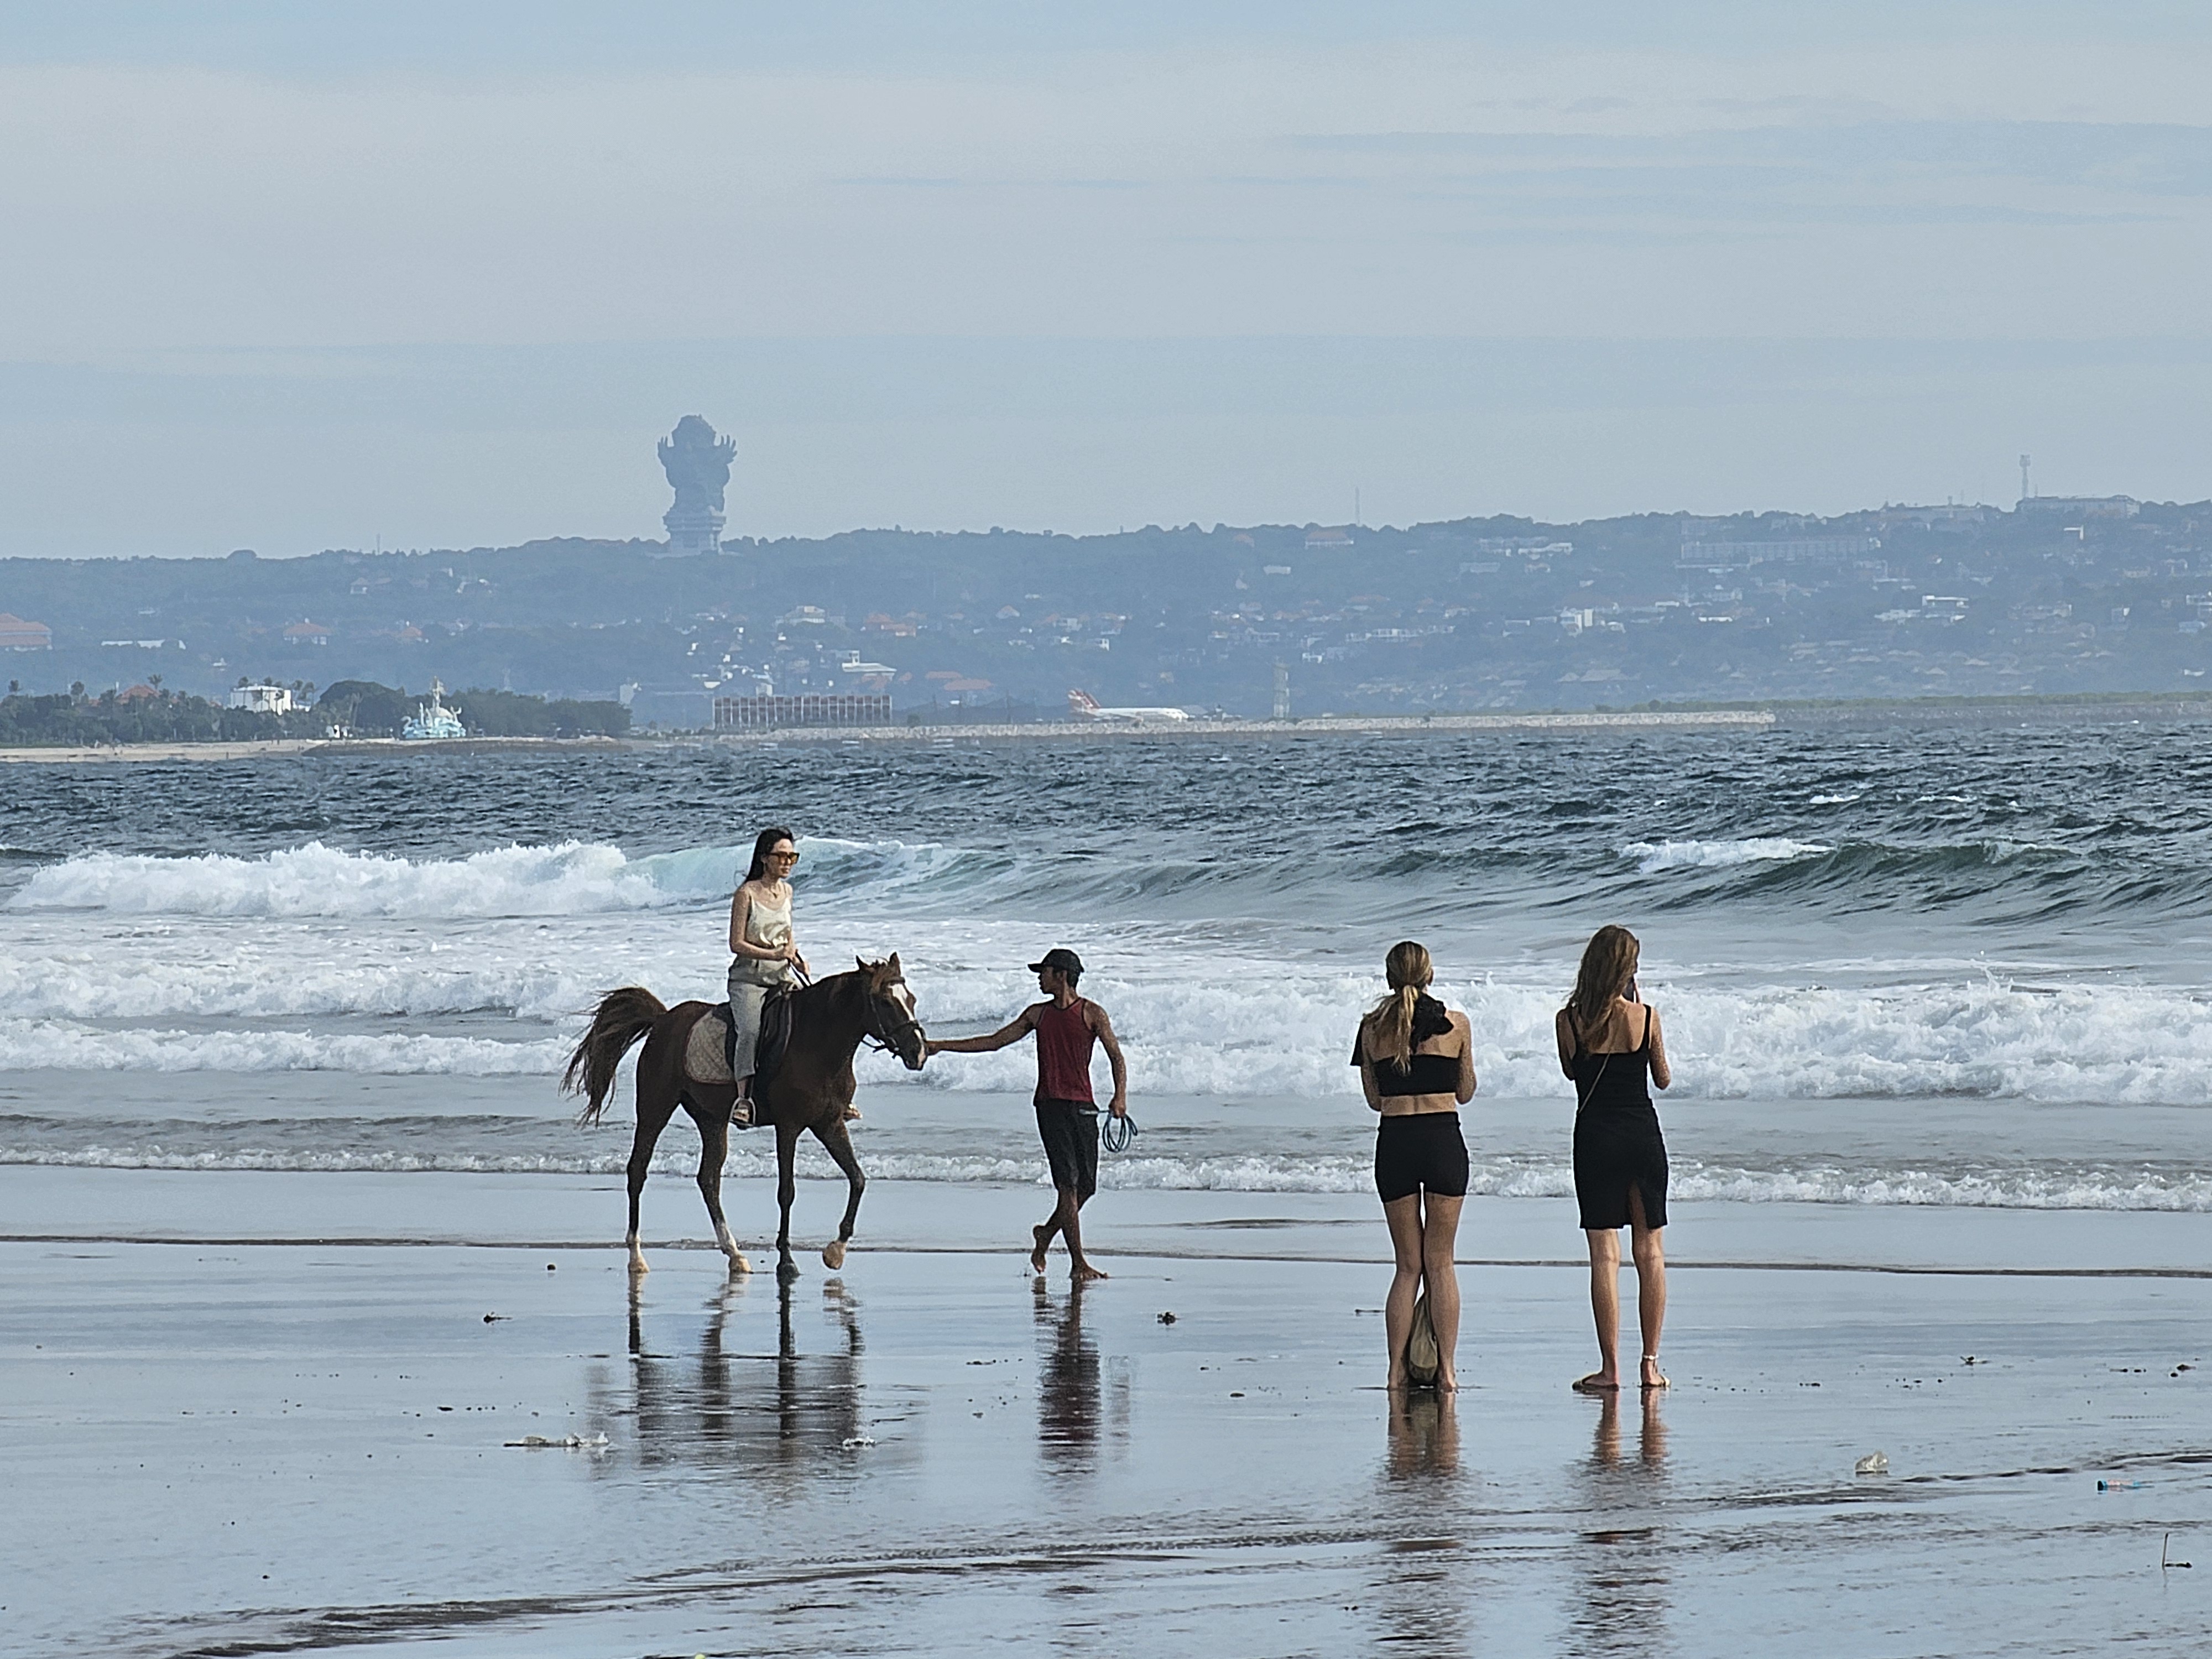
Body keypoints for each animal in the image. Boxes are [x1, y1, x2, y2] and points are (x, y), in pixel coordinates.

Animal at [566, 960, 929, 1283]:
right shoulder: (789, 1127)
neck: (819, 1041)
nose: (919, 1052)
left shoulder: (829, 1124)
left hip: (711, 1119)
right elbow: (787, 1192)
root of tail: (663, 1020)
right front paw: (787, 1262)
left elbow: (858, 1179)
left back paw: (735, 1254)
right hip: (655, 1108)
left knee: (708, 1180)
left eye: (911, 999)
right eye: (886, 1002)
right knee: (638, 1171)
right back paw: (637, 1258)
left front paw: (835, 1251)